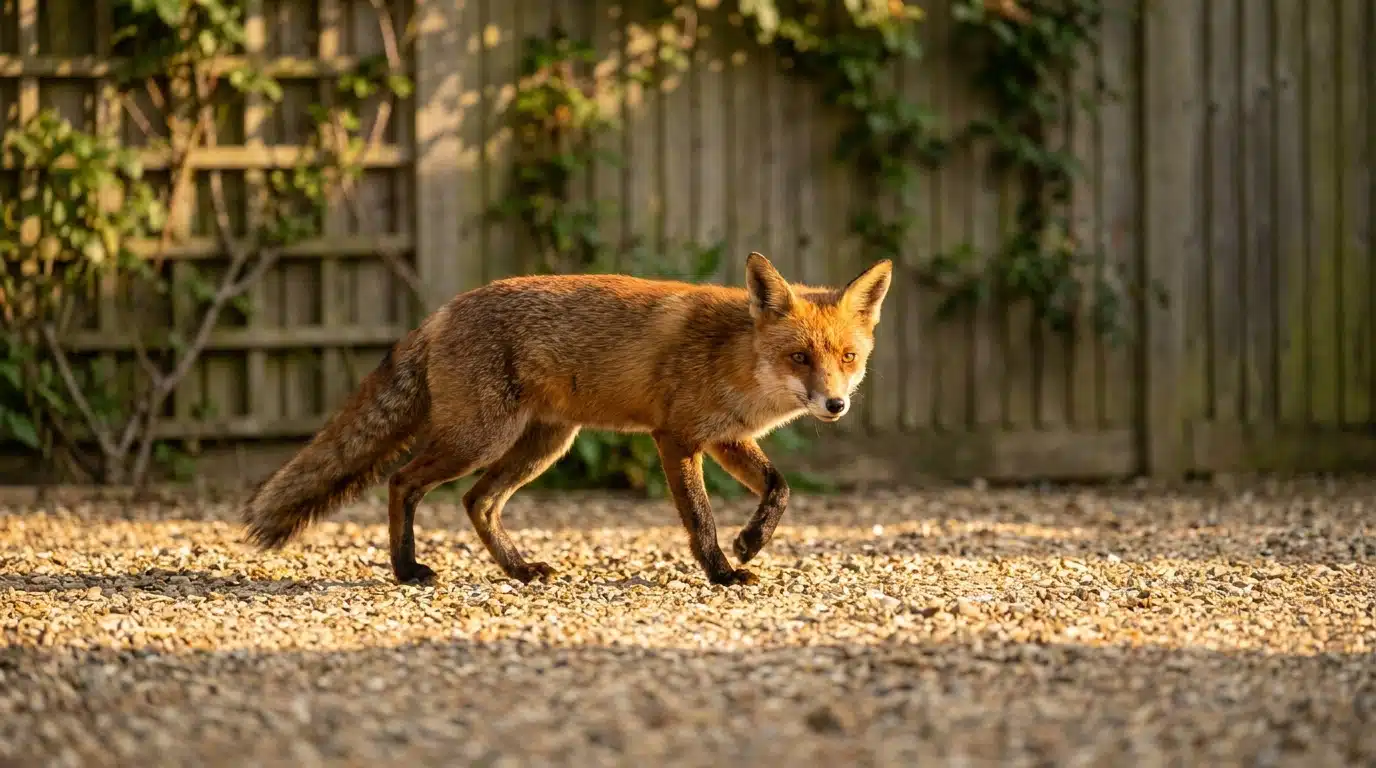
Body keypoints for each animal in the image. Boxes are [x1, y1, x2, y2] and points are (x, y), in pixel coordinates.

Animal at [240, 251, 892, 587]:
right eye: (800, 357)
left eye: (847, 358)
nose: (834, 405)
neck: (735, 360)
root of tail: (444, 309)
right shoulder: (676, 438)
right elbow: (700, 521)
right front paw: (724, 572)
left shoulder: (725, 439)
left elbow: (780, 490)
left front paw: (751, 544)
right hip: (479, 438)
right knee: (403, 481)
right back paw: (405, 569)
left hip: (542, 446)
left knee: (476, 502)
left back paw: (518, 568)